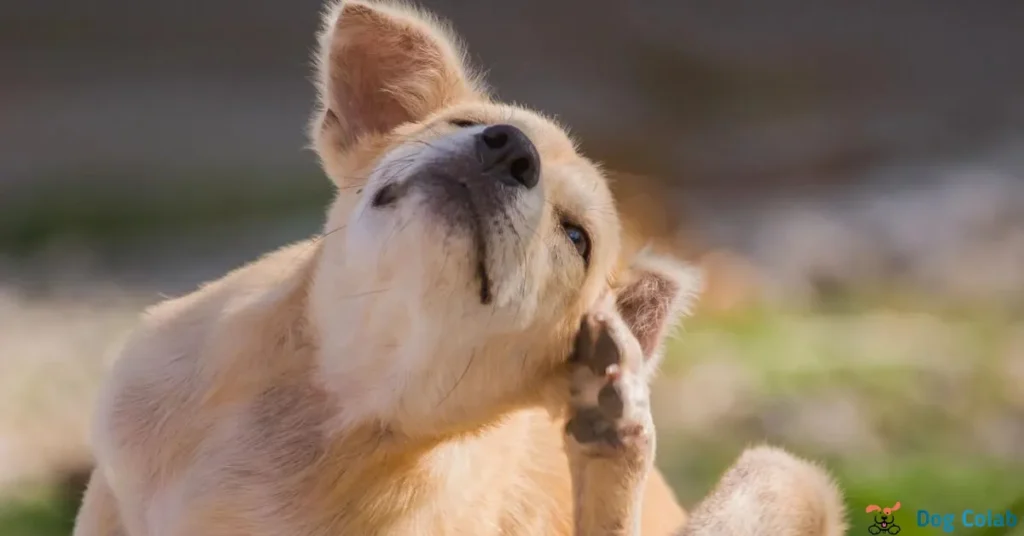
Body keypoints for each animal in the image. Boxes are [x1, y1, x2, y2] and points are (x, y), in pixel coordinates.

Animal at [72, 2, 847, 532]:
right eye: (464, 126)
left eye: (575, 237)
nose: (510, 151)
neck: (336, 395)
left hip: (785, 477)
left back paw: (614, 434)